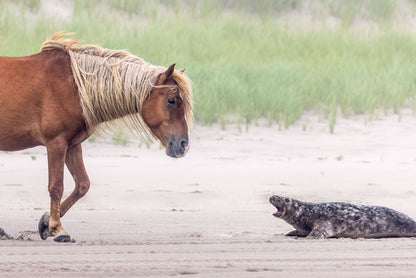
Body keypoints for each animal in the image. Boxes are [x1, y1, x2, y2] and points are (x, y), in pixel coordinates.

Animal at [0, 32, 193, 241]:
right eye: (171, 100)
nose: (183, 145)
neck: (75, 86)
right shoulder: (56, 144)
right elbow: (56, 187)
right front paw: (58, 228)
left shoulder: (72, 145)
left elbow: (82, 185)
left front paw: (45, 223)